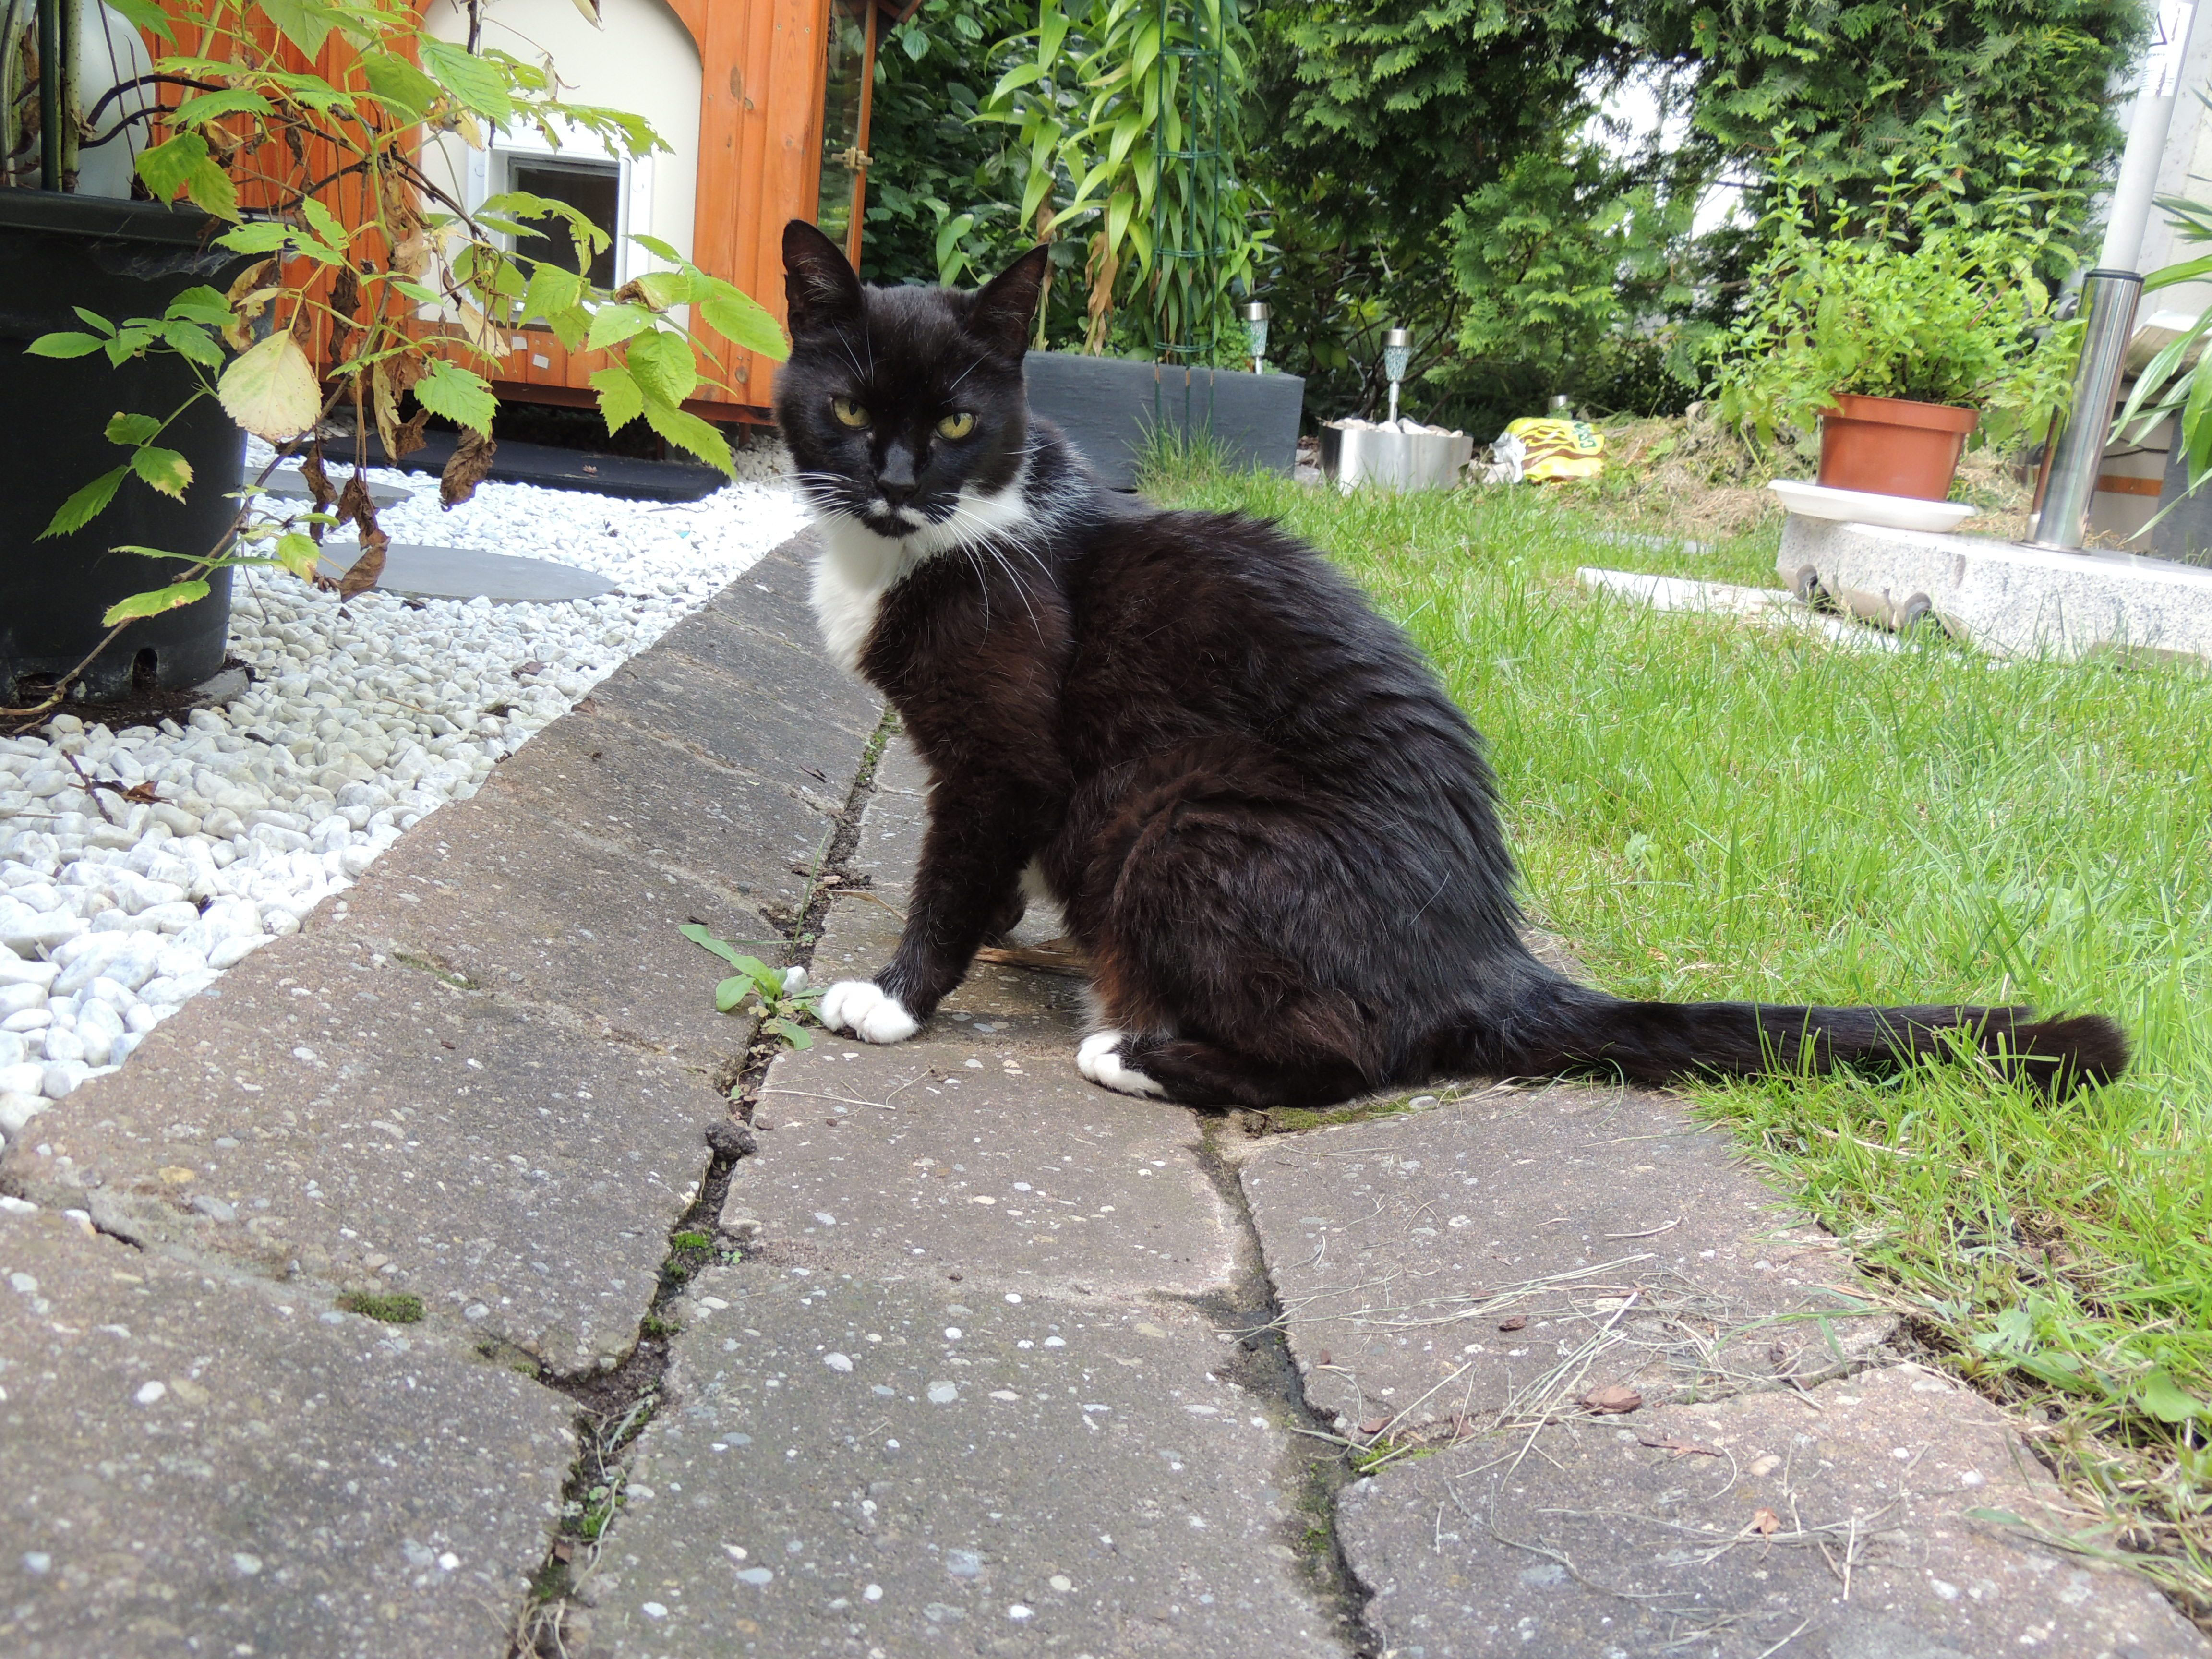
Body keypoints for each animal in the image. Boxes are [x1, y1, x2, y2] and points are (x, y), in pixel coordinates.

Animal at [765, 217, 2123, 1106]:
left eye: (957, 421)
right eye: (848, 410)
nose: (896, 483)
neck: (919, 548)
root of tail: (1486, 962)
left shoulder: (1004, 747)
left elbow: (955, 869)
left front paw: (895, 995)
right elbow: (978, 868)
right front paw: (1001, 928)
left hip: (1184, 824)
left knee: (1352, 1056)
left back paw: (1137, 1051)